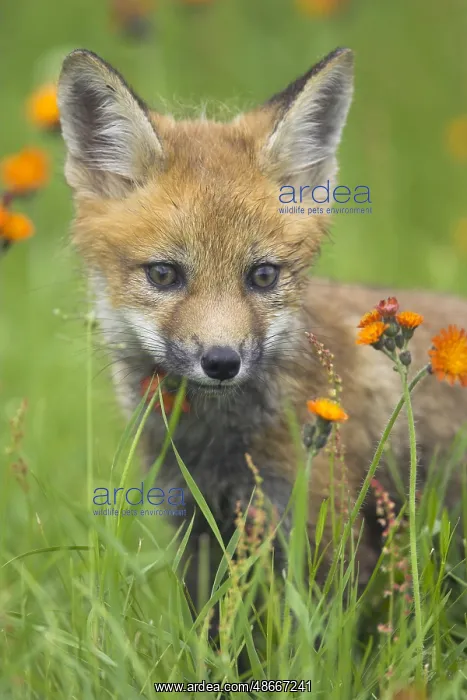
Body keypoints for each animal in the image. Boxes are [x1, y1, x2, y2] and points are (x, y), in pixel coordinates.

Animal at [57, 47, 467, 597]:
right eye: (163, 274)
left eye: (263, 275)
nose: (222, 361)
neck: (217, 443)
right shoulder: (197, 524)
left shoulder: (324, 534)